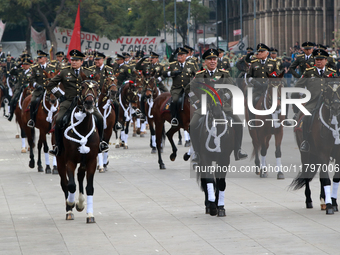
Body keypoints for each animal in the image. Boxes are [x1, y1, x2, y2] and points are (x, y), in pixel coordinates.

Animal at [55, 74, 100, 223]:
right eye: (83, 86)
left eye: (96, 87)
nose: (89, 103)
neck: (83, 127)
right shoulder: (70, 161)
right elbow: (71, 185)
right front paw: (70, 203)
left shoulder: (92, 161)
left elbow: (89, 187)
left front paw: (90, 214)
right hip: (60, 160)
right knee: (65, 183)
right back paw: (69, 210)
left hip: (83, 161)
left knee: (80, 176)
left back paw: (80, 203)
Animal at [290, 80, 340, 215]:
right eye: (328, 90)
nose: (336, 107)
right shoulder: (323, 153)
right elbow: (326, 179)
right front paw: (329, 206)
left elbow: (335, 178)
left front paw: (333, 203)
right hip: (306, 154)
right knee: (308, 175)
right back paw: (309, 201)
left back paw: (323, 200)